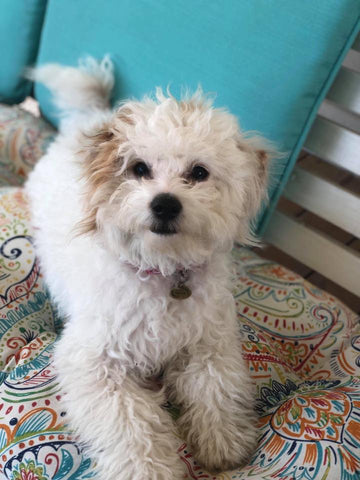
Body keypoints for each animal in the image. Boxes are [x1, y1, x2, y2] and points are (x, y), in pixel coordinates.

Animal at [26, 58, 270, 478]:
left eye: (199, 172)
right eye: (139, 168)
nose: (165, 204)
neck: (163, 271)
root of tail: (87, 119)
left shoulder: (209, 342)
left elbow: (216, 385)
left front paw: (222, 440)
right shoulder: (95, 362)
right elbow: (130, 422)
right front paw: (147, 468)